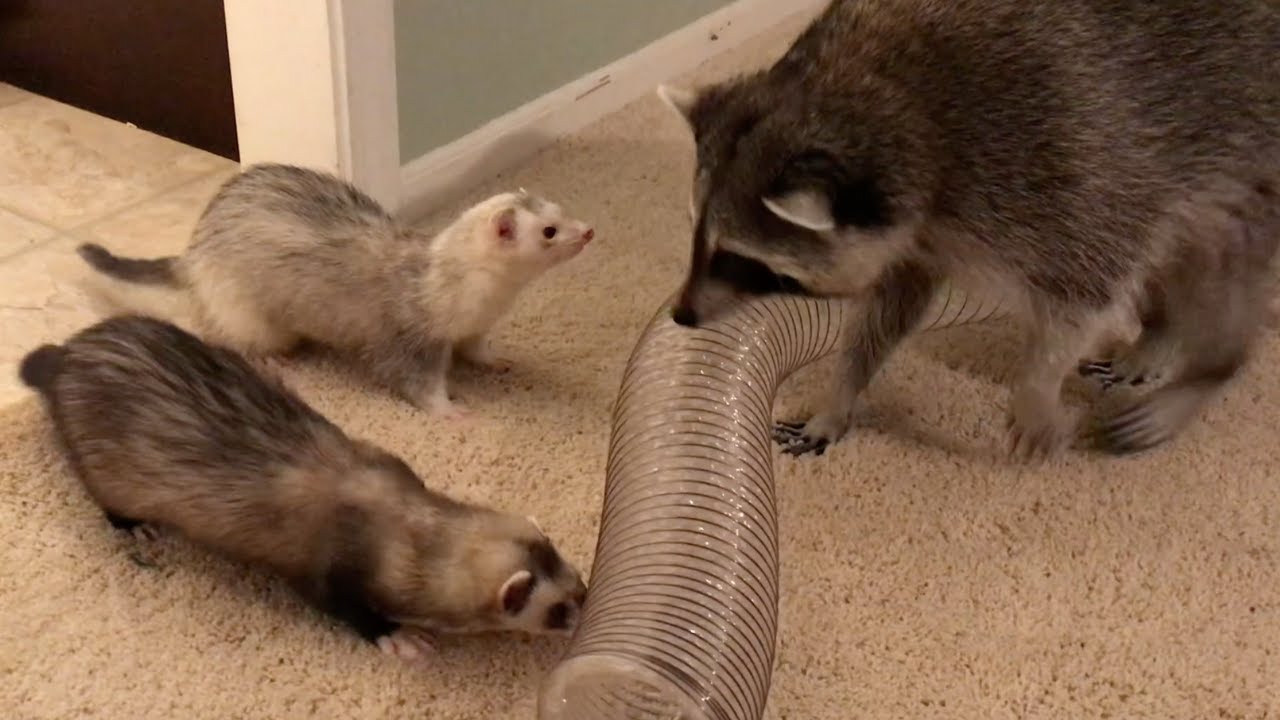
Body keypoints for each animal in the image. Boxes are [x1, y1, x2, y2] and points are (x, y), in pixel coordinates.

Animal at [660, 0, 1280, 459]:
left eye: (740, 258)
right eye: (696, 233)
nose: (681, 315)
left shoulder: (1063, 156)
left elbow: (1088, 290)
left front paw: (1036, 388)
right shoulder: (919, 230)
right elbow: (890, 308)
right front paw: (840, 394)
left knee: (1220, 260)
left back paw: (1214, 367)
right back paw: (1160, 335)